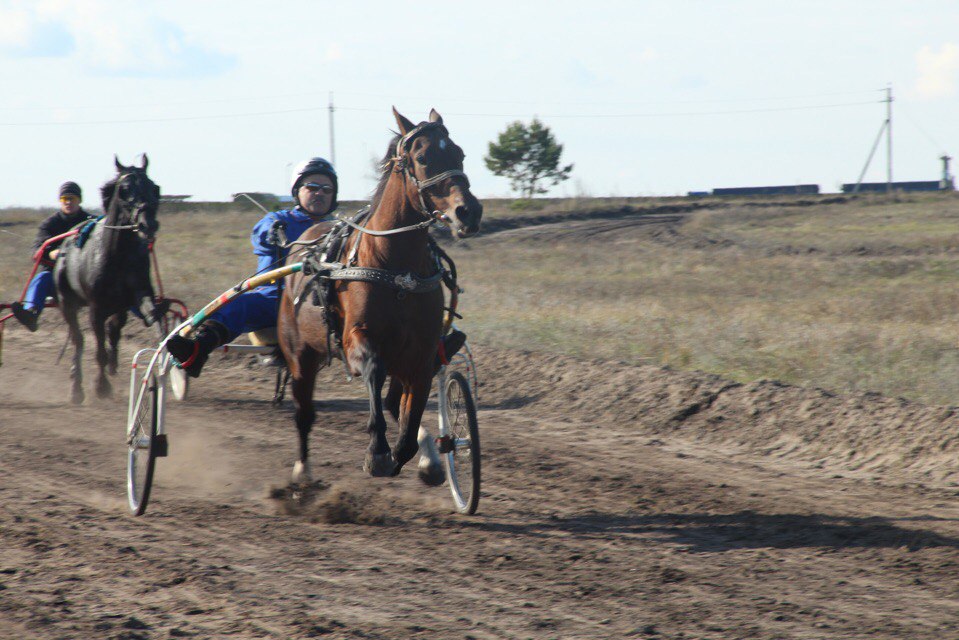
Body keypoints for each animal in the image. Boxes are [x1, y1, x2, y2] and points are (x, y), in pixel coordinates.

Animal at [54, 155, 161, 402]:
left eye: (153, 187)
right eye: (124, 189)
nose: (148, 224)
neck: (117, 255)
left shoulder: (135, 295)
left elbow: (148, 317)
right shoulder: (96, 308)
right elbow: (98, 349)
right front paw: (101, 386)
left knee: (112, 330)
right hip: (66, 302)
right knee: (78, 339)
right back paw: (76, 387)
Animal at [280, 107, 484, 482]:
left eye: (459, 154)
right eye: (422, 158)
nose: (468, 212)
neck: (397, 269)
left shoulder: (421, 354)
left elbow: (410, 413)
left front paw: (415, 454)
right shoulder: (356, 338)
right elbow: (374, 369)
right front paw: (377, 452)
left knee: (392, 401)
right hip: (299, 353)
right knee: (304, 411)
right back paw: (302, 471)